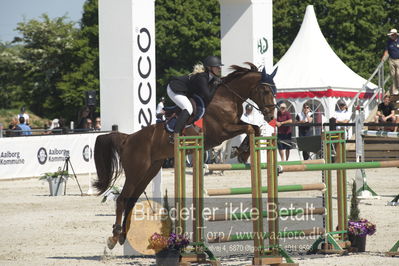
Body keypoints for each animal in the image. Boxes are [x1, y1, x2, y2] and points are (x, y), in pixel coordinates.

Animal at [94, 62, 276, 249]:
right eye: (265, 91)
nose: (271, 115)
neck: (227, 98)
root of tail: (128, 138)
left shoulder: (234, 124)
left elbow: (255, 128)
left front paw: (244, 152)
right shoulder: (222, 131)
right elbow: (249, 128)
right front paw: (242, 151)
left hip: (150, 171)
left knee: (131, 200)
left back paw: (123, 235)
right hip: (135, 172)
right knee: (122, 200)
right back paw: (114, 237)